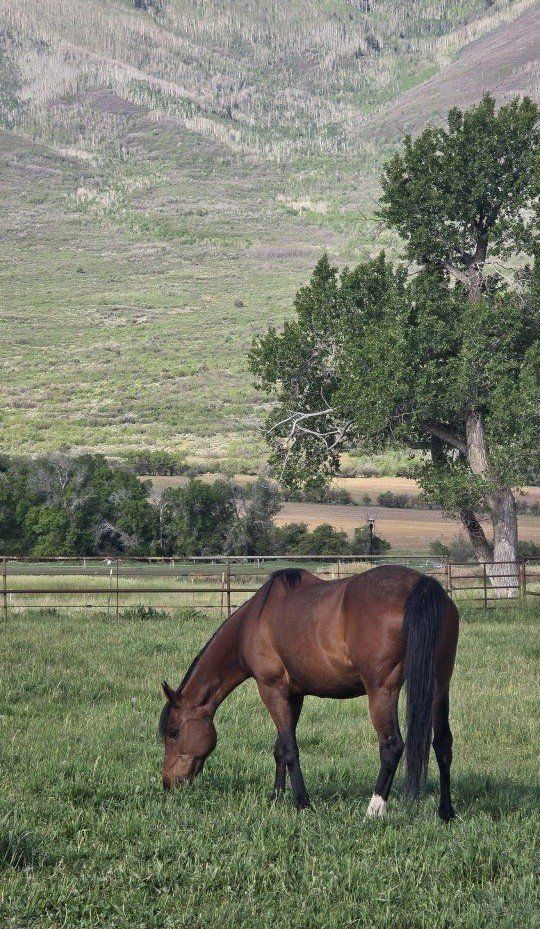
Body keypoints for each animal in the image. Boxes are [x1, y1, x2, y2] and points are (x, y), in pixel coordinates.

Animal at [159, 565, 459, 820]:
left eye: (173, 732)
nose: (168, 783)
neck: (254, 622)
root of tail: (422, 584)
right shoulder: (294, 694)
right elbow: (280, 747)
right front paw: (276, 796)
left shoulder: (271, 690)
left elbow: (291, 748)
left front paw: (301, 802)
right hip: (439, 684)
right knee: (443, 743)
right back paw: (446, 812)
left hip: (382, 691)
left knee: (392, 746)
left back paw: (372, 812)